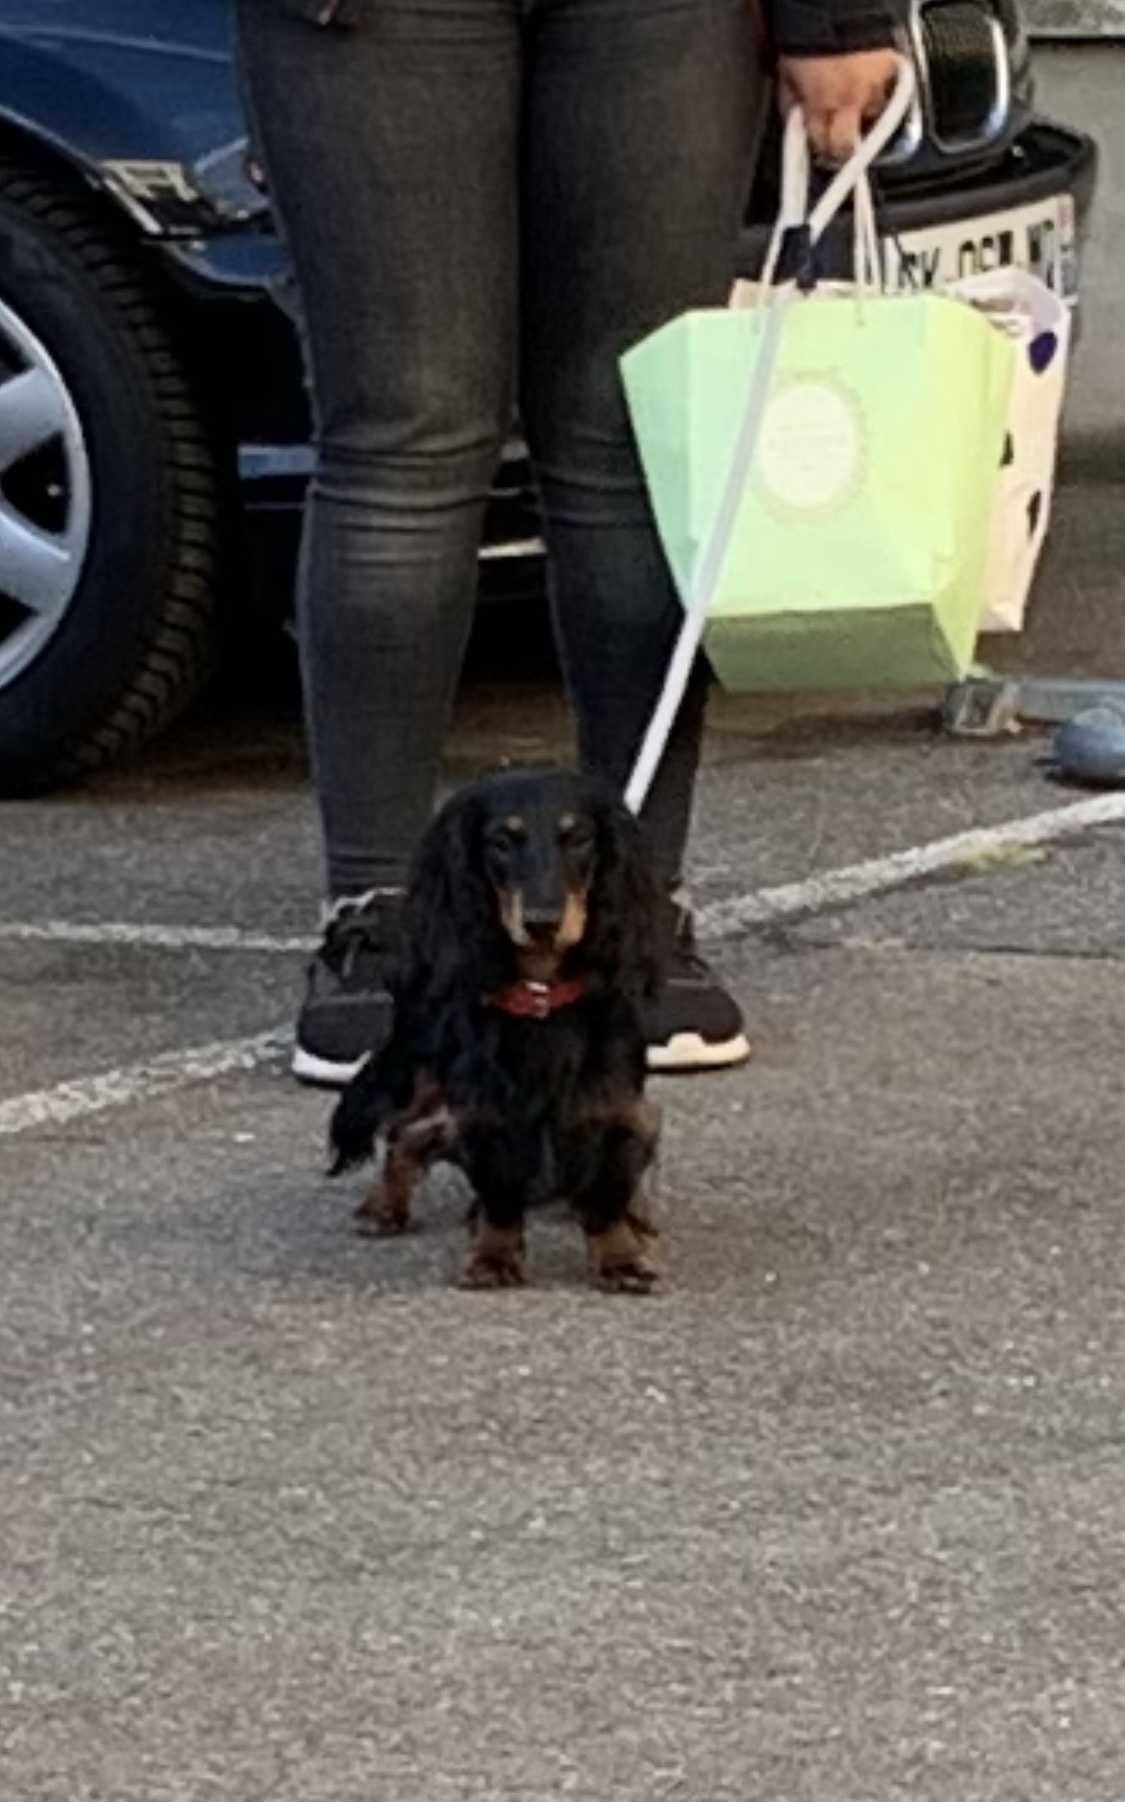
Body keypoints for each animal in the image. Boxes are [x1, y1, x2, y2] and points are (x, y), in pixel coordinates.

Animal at [324, 767, 663, 1290]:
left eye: (579, 838)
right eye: (501, 842)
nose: (542, 922)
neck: (541, 994)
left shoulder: (614, 1107)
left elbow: (607, 1190)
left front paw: (620, 1257)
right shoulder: (486, 1109)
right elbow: (499, 1192)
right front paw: (493, 1256)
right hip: (423, 1070)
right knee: (405, 1132)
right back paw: (385, 1207)